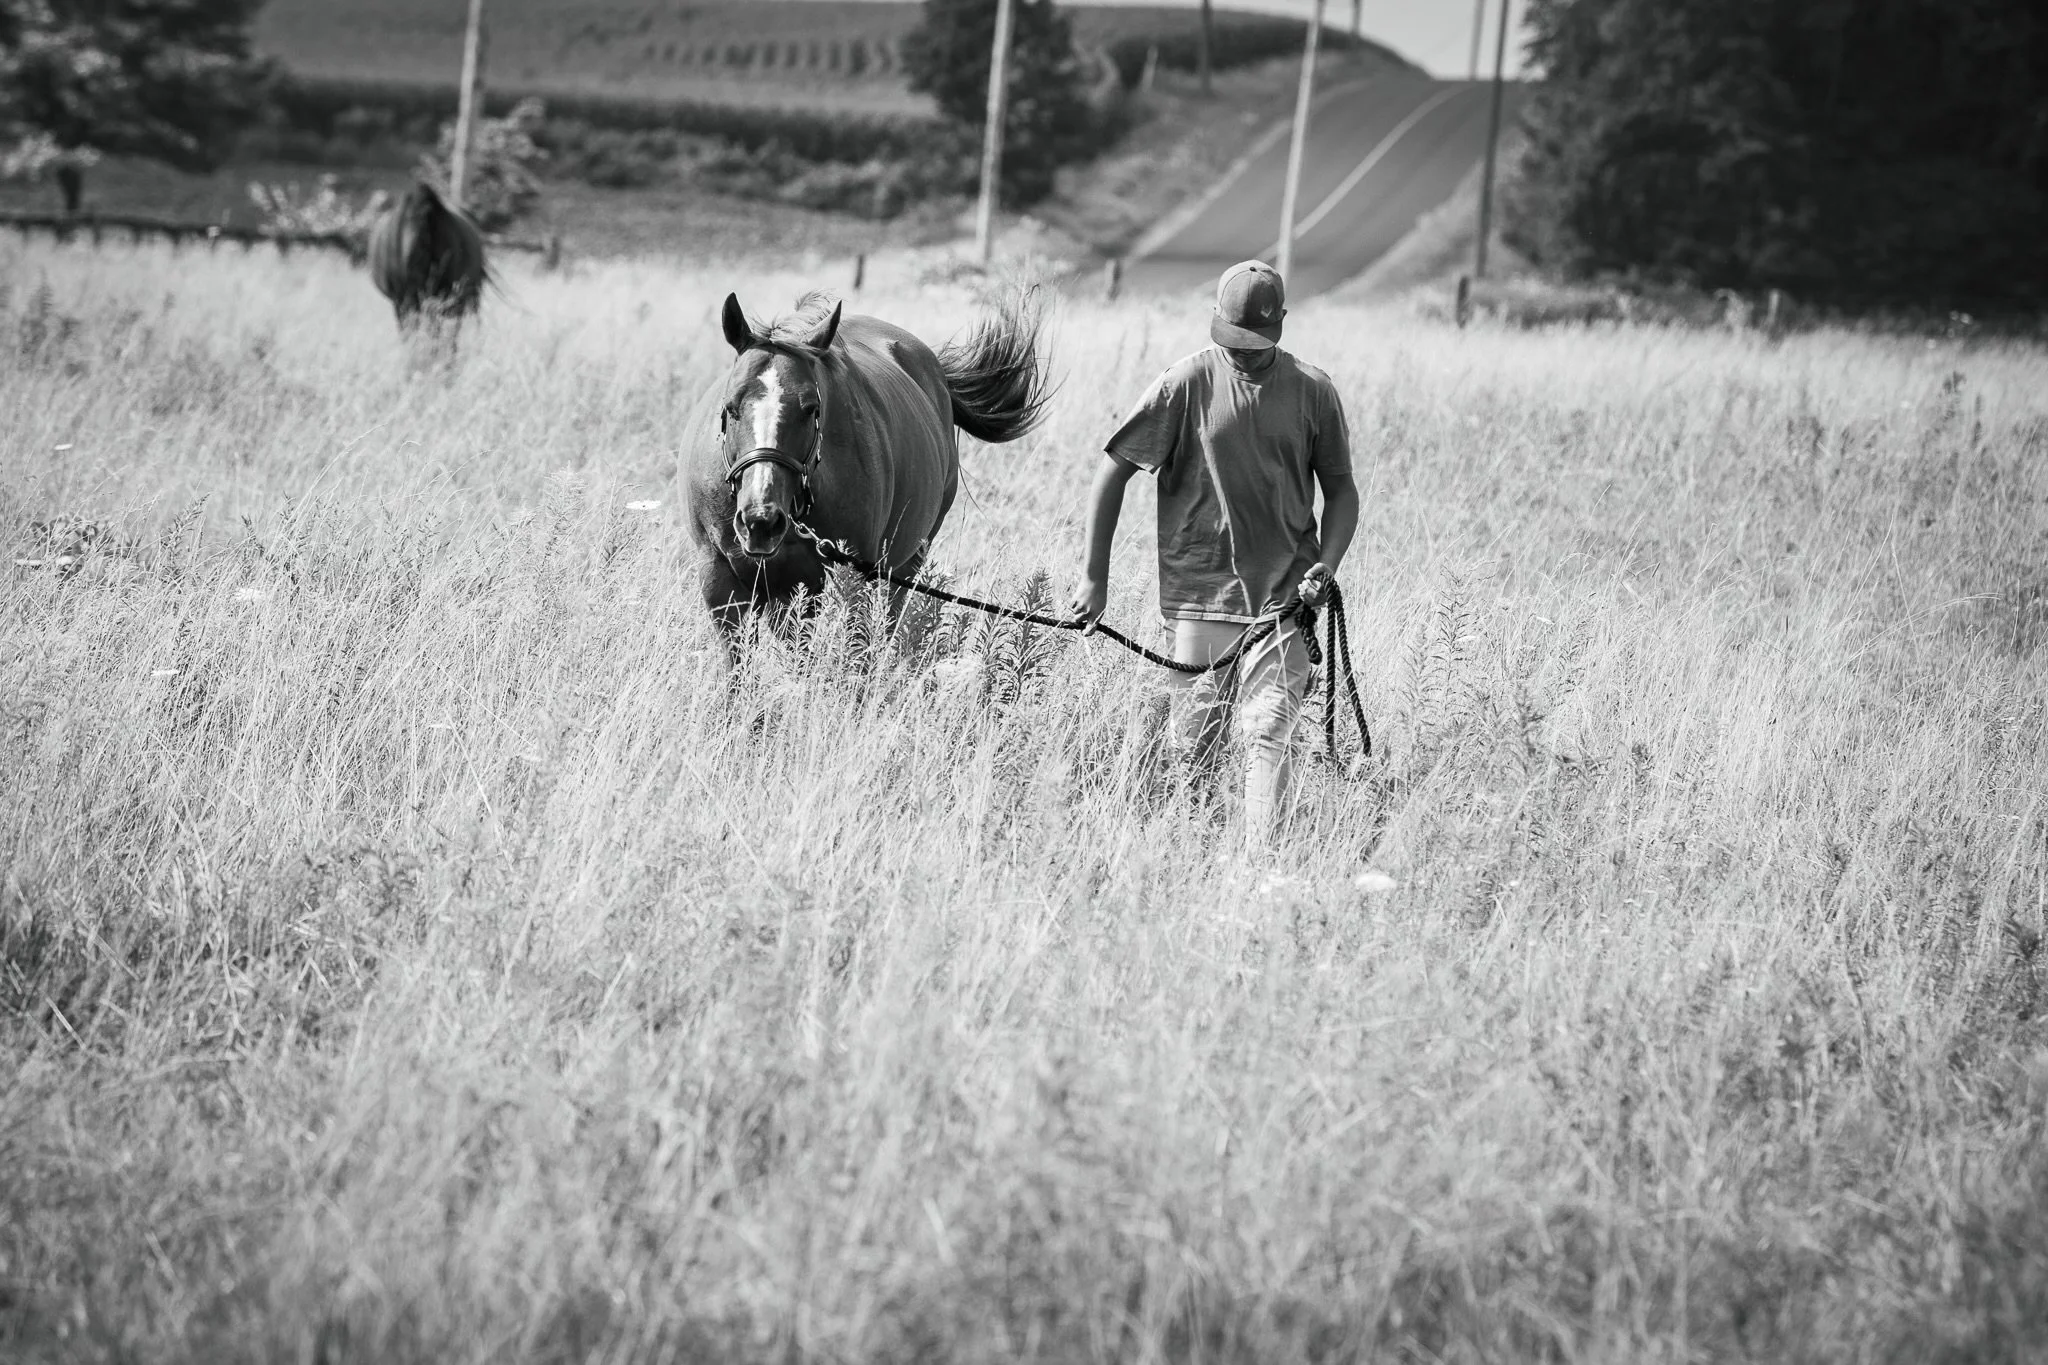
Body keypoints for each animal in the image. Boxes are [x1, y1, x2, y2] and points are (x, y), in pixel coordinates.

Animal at [684, 289, 1049, 655]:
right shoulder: (722, 583)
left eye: (811, 408)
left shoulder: (847, 578)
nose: (761, 520)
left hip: (905, 563)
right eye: (730, 407)